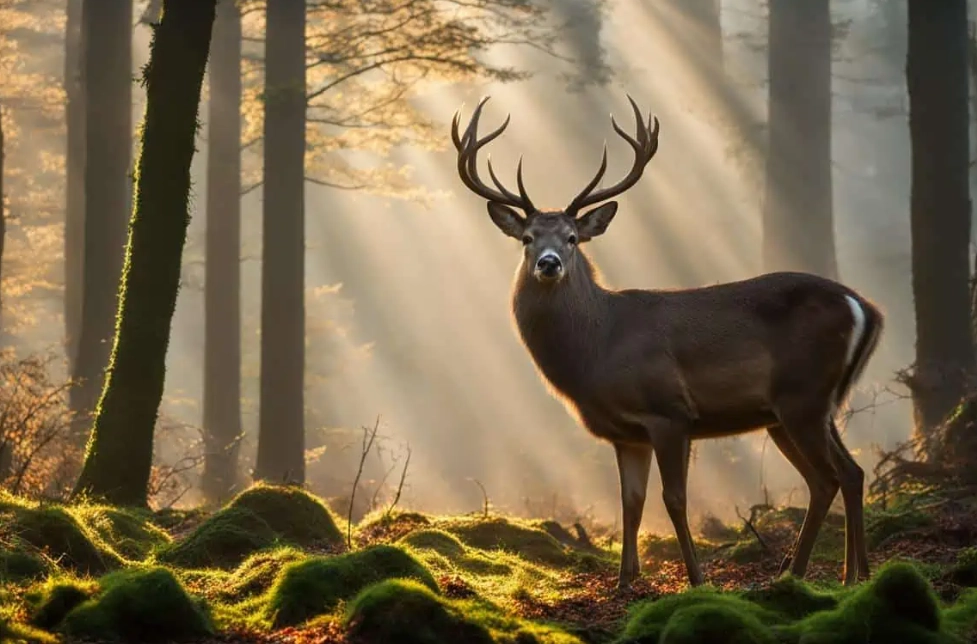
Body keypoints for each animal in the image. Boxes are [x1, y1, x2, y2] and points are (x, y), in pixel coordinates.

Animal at [450, 95, 883, 589]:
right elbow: (630, 503)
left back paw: (794, 573)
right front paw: (625, 581)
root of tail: (865, 307)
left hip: (802, 396)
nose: (549, 263)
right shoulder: (626, 434)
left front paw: (697, 579)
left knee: (828, 477)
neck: (598, 349)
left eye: (572, 238)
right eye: (526, 238)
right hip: (804, 408)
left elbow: (673, 498)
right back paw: (855, 575)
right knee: (848, 472)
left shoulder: (669, 411)